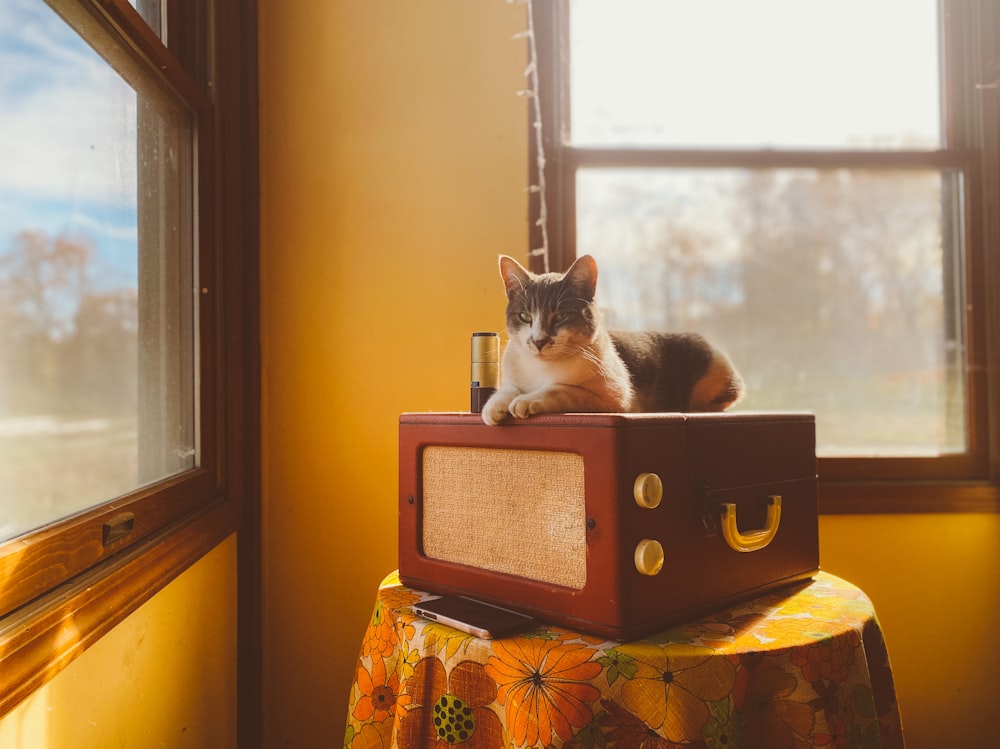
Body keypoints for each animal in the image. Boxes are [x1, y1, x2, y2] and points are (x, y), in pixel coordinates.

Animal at [480, 253, 748, 424]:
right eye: (524, 316)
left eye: (561, 316)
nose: (538, 341)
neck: (540, 369)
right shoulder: (513, 373)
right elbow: (507, 389)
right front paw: (493, 407)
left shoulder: (613, 396)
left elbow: (560, 389)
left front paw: (525, 400)